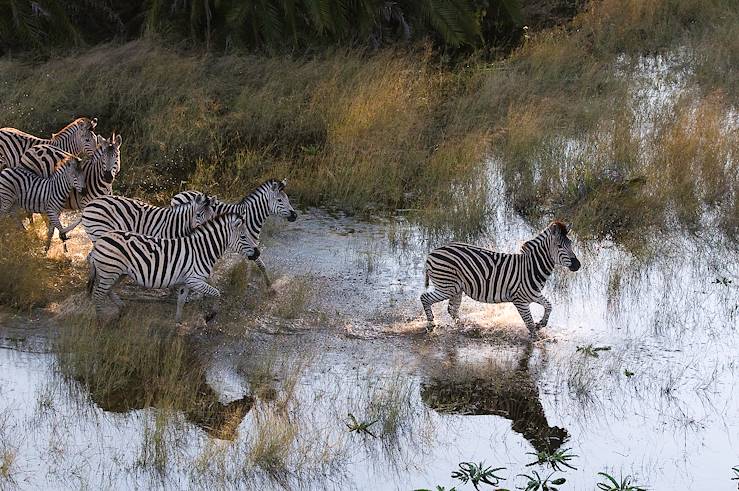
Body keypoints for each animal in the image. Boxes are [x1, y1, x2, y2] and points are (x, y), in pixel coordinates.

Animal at [87, 214, 262, 322]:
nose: (258, 253)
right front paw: (210, 316)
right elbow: (217, 293)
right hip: (110, 271)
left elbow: (181, 301)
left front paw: (177, 324)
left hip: (118, 273)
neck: (202, 250)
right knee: (98, 294)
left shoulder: (186, 282)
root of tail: (101, 239)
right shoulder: (195, 280)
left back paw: (121, 307)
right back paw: (100, 320)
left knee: (108, 290)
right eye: (244, 236)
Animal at [172, 179, 300, 290]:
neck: (250, 217)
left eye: (287, 199)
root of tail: (181, 193)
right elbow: (258, 265)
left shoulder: (250, 246)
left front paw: (255, 282)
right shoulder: (245, 244)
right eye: (279, 200)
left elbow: (253, 265)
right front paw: (265, 285)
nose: (295, 216)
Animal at [422, 222, 584, 334]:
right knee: (425, 298)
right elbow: (529, 324)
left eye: (570, 244)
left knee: (452, 310)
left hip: (456, 288)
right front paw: (535, 338)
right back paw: (431, 324)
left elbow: (549, 306)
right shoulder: (520, 300)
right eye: (559, 246)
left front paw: (541, 324)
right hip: (447, 286)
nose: (578, 265)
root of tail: (432, 253)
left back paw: (464, 326)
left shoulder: (532, 294)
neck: (532, 267)